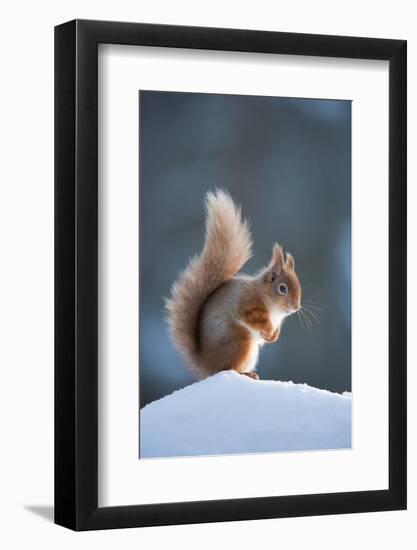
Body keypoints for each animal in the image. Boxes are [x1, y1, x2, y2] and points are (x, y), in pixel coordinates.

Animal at [164, 190, 300, 380]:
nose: (296, 307)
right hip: (240, 343)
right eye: (282, 288)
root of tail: (207, 366)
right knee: (228, 368)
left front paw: (273, 336)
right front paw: (267, 331)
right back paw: (245, 374)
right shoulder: (249, 305)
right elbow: (252, 317)